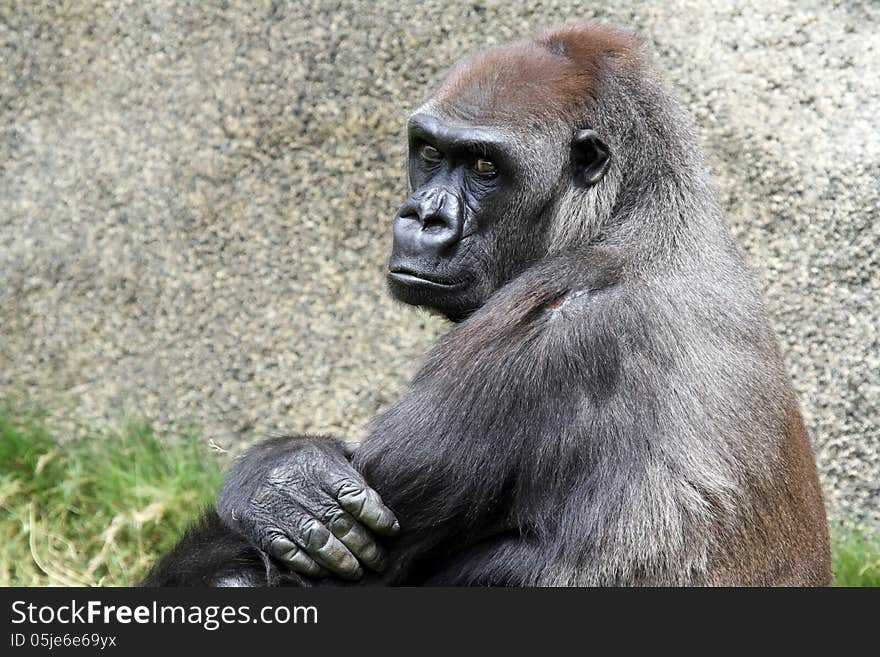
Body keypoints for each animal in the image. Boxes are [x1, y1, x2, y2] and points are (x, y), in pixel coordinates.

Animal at [144, 23, 832, 588]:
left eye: (483, 165)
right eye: (429, 152)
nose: (423, 218)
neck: (631, 213)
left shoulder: (535, 331)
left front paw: (271, 480)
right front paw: (284, 481)